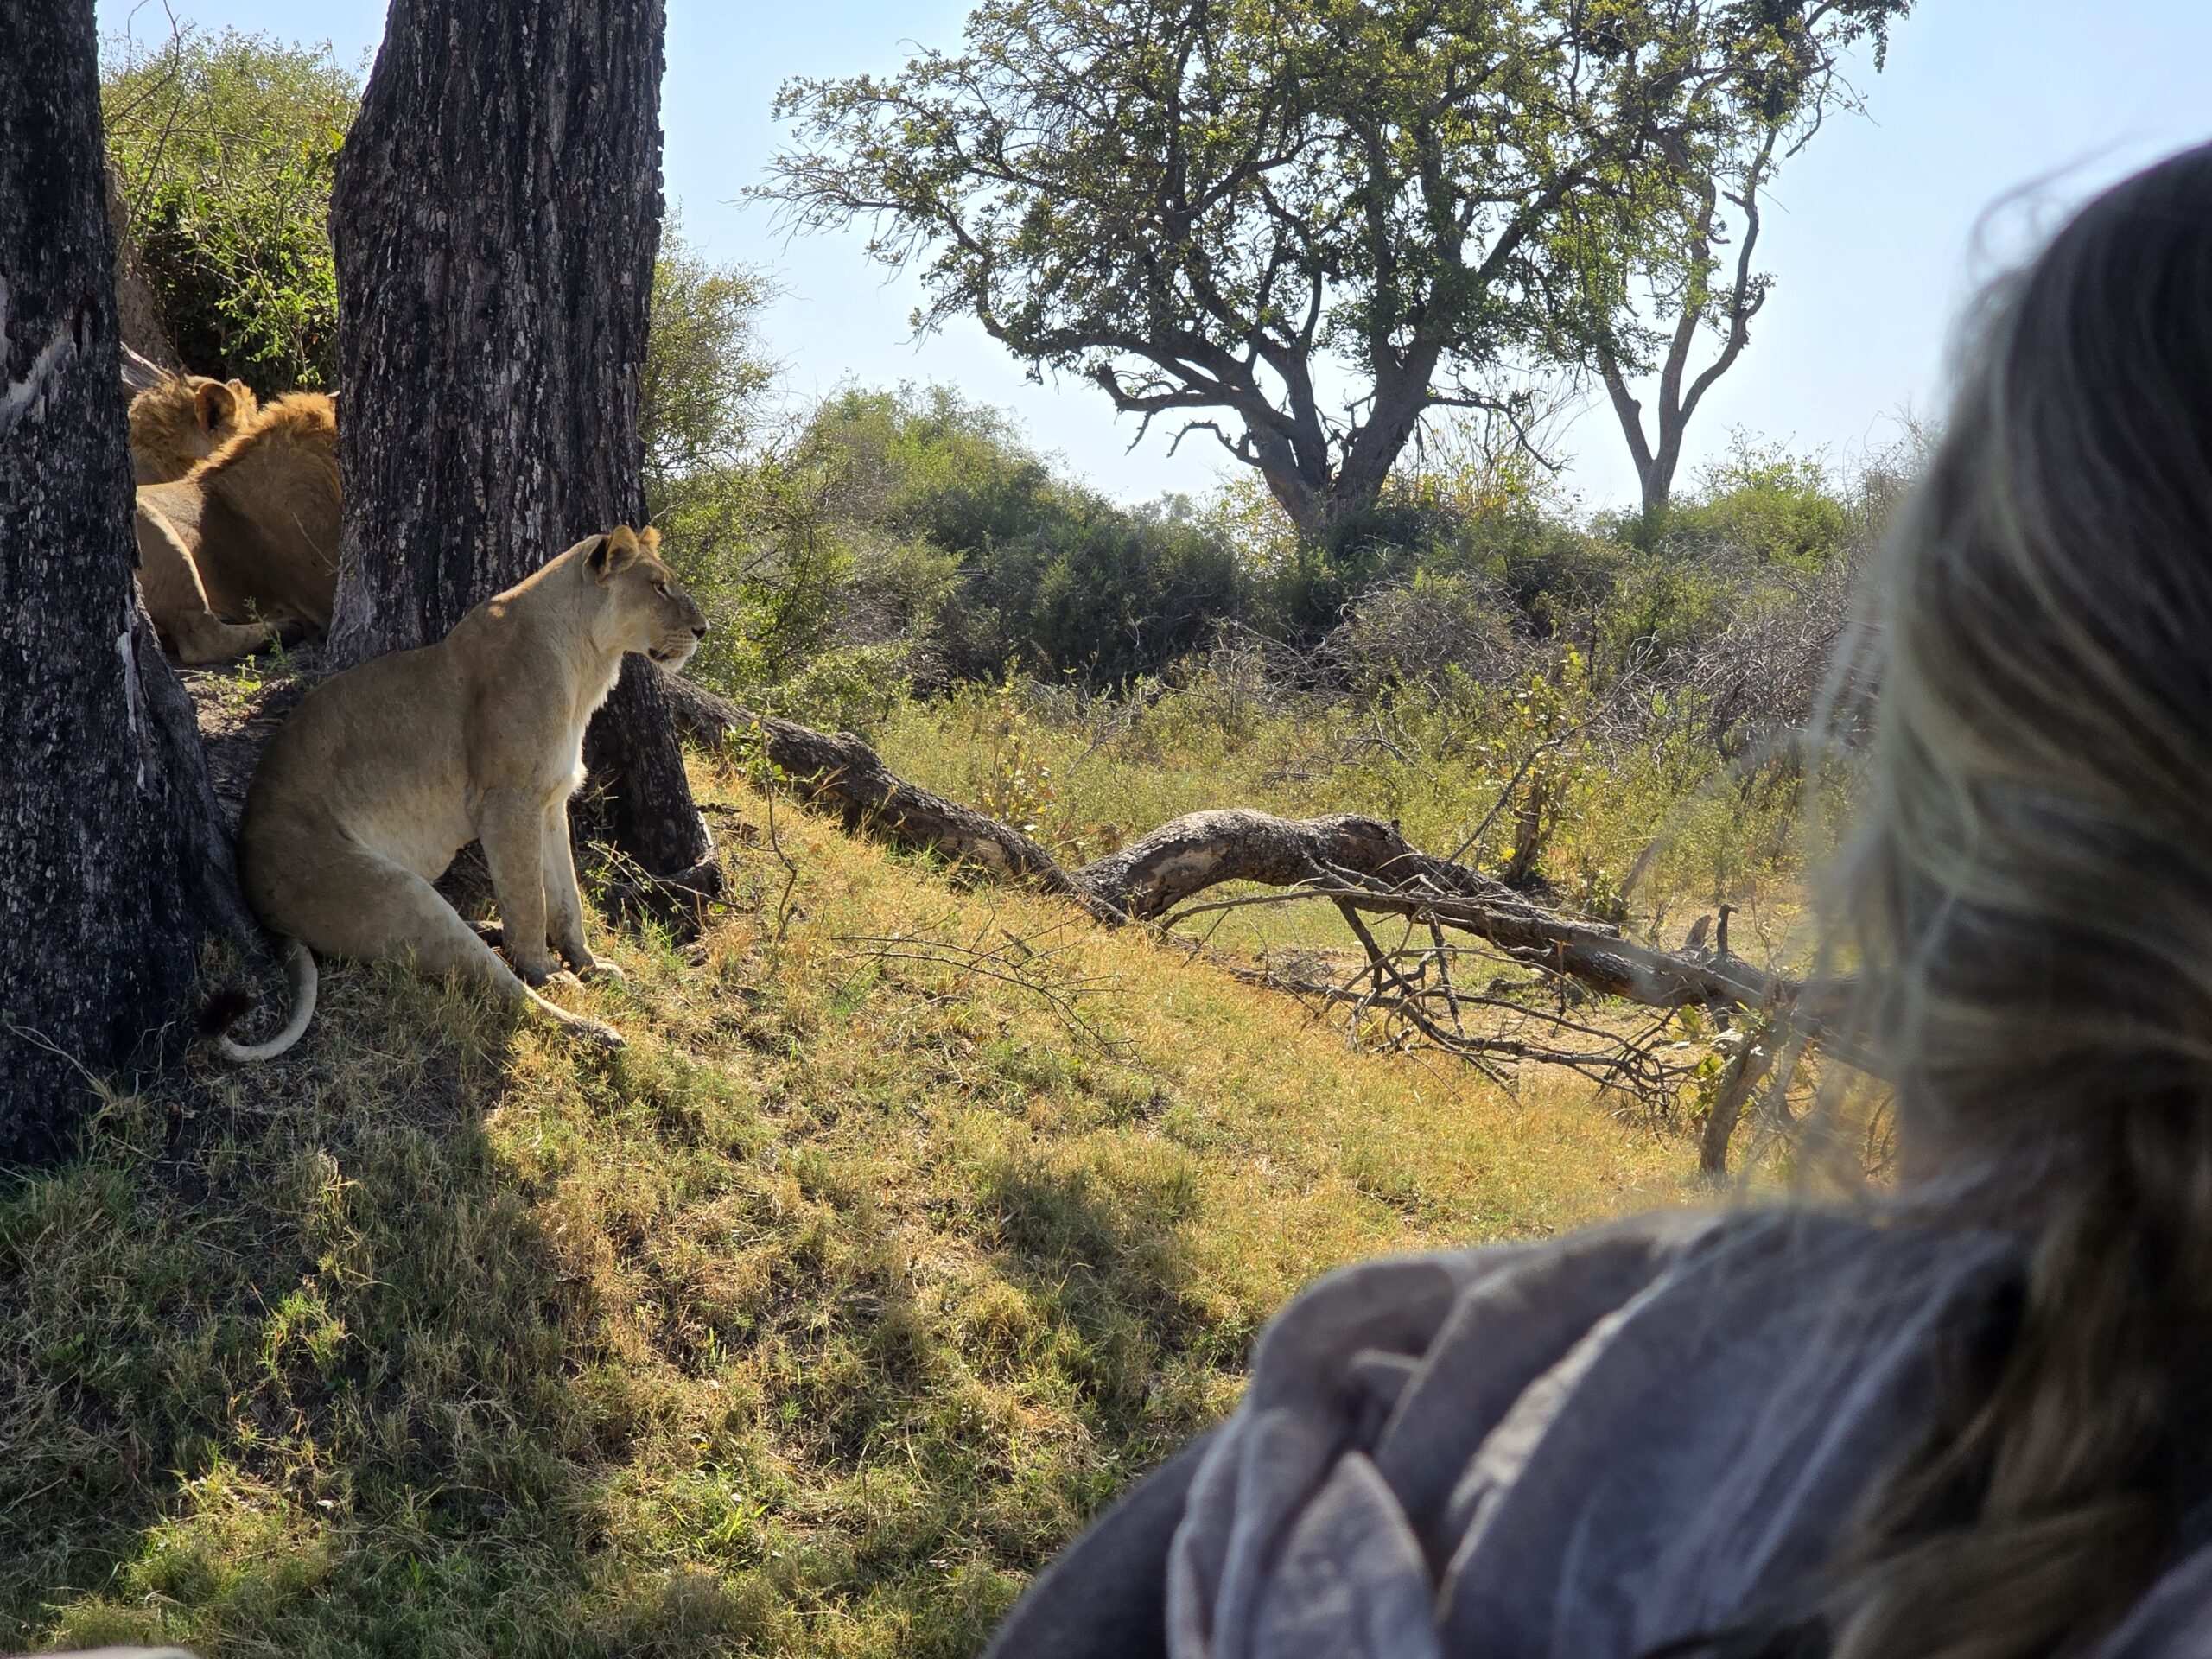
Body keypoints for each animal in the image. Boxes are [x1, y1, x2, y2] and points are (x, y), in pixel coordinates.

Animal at [211, 525, 708, 1059]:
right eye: (658, 587)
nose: (702, 630)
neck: (587, 662)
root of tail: (258, 896)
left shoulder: (550, 802)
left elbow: (567, 896)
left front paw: (589, 963)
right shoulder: (508, 803)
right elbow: (529, 900)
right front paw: (549, 972)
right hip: (400, 896)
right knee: (505, 991)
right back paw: (593, 1031)